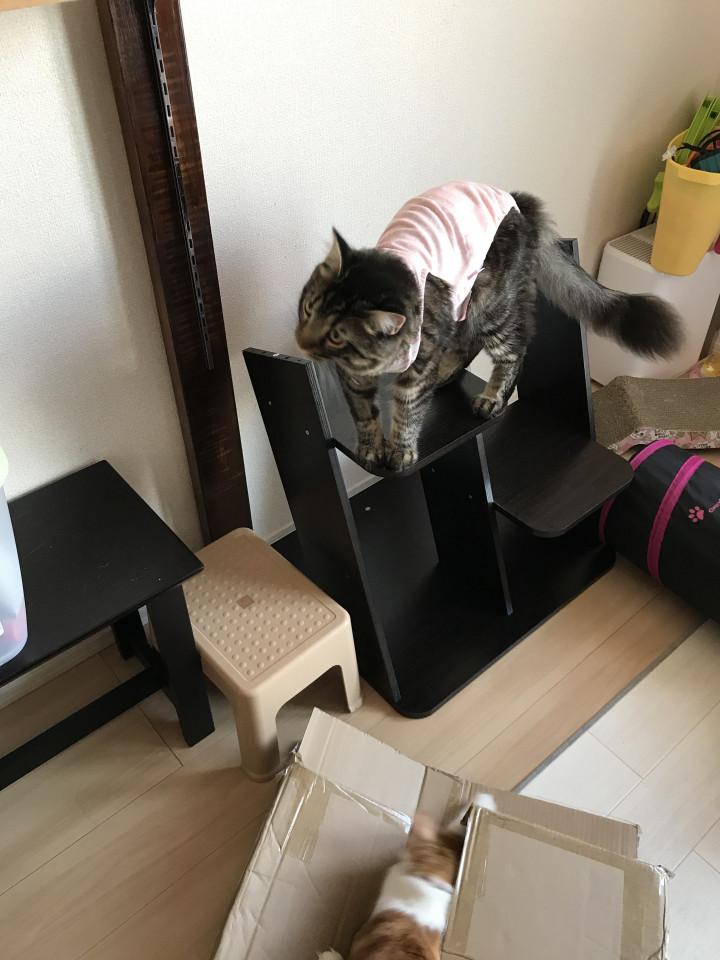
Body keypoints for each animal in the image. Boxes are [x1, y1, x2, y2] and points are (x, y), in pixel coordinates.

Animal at [296, 182, 682, 473]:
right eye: (308, 309)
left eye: (336, 335)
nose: (300, 341)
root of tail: (517, 201)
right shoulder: (354, 379)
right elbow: (364, 416)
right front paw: (370, 448)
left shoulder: (417, 368)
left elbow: (407, 411)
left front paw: (401, 450)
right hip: (466, 304)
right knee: (469, 343)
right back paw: (447, 375)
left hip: (491, 304)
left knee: (515, 348)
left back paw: (492, 399)